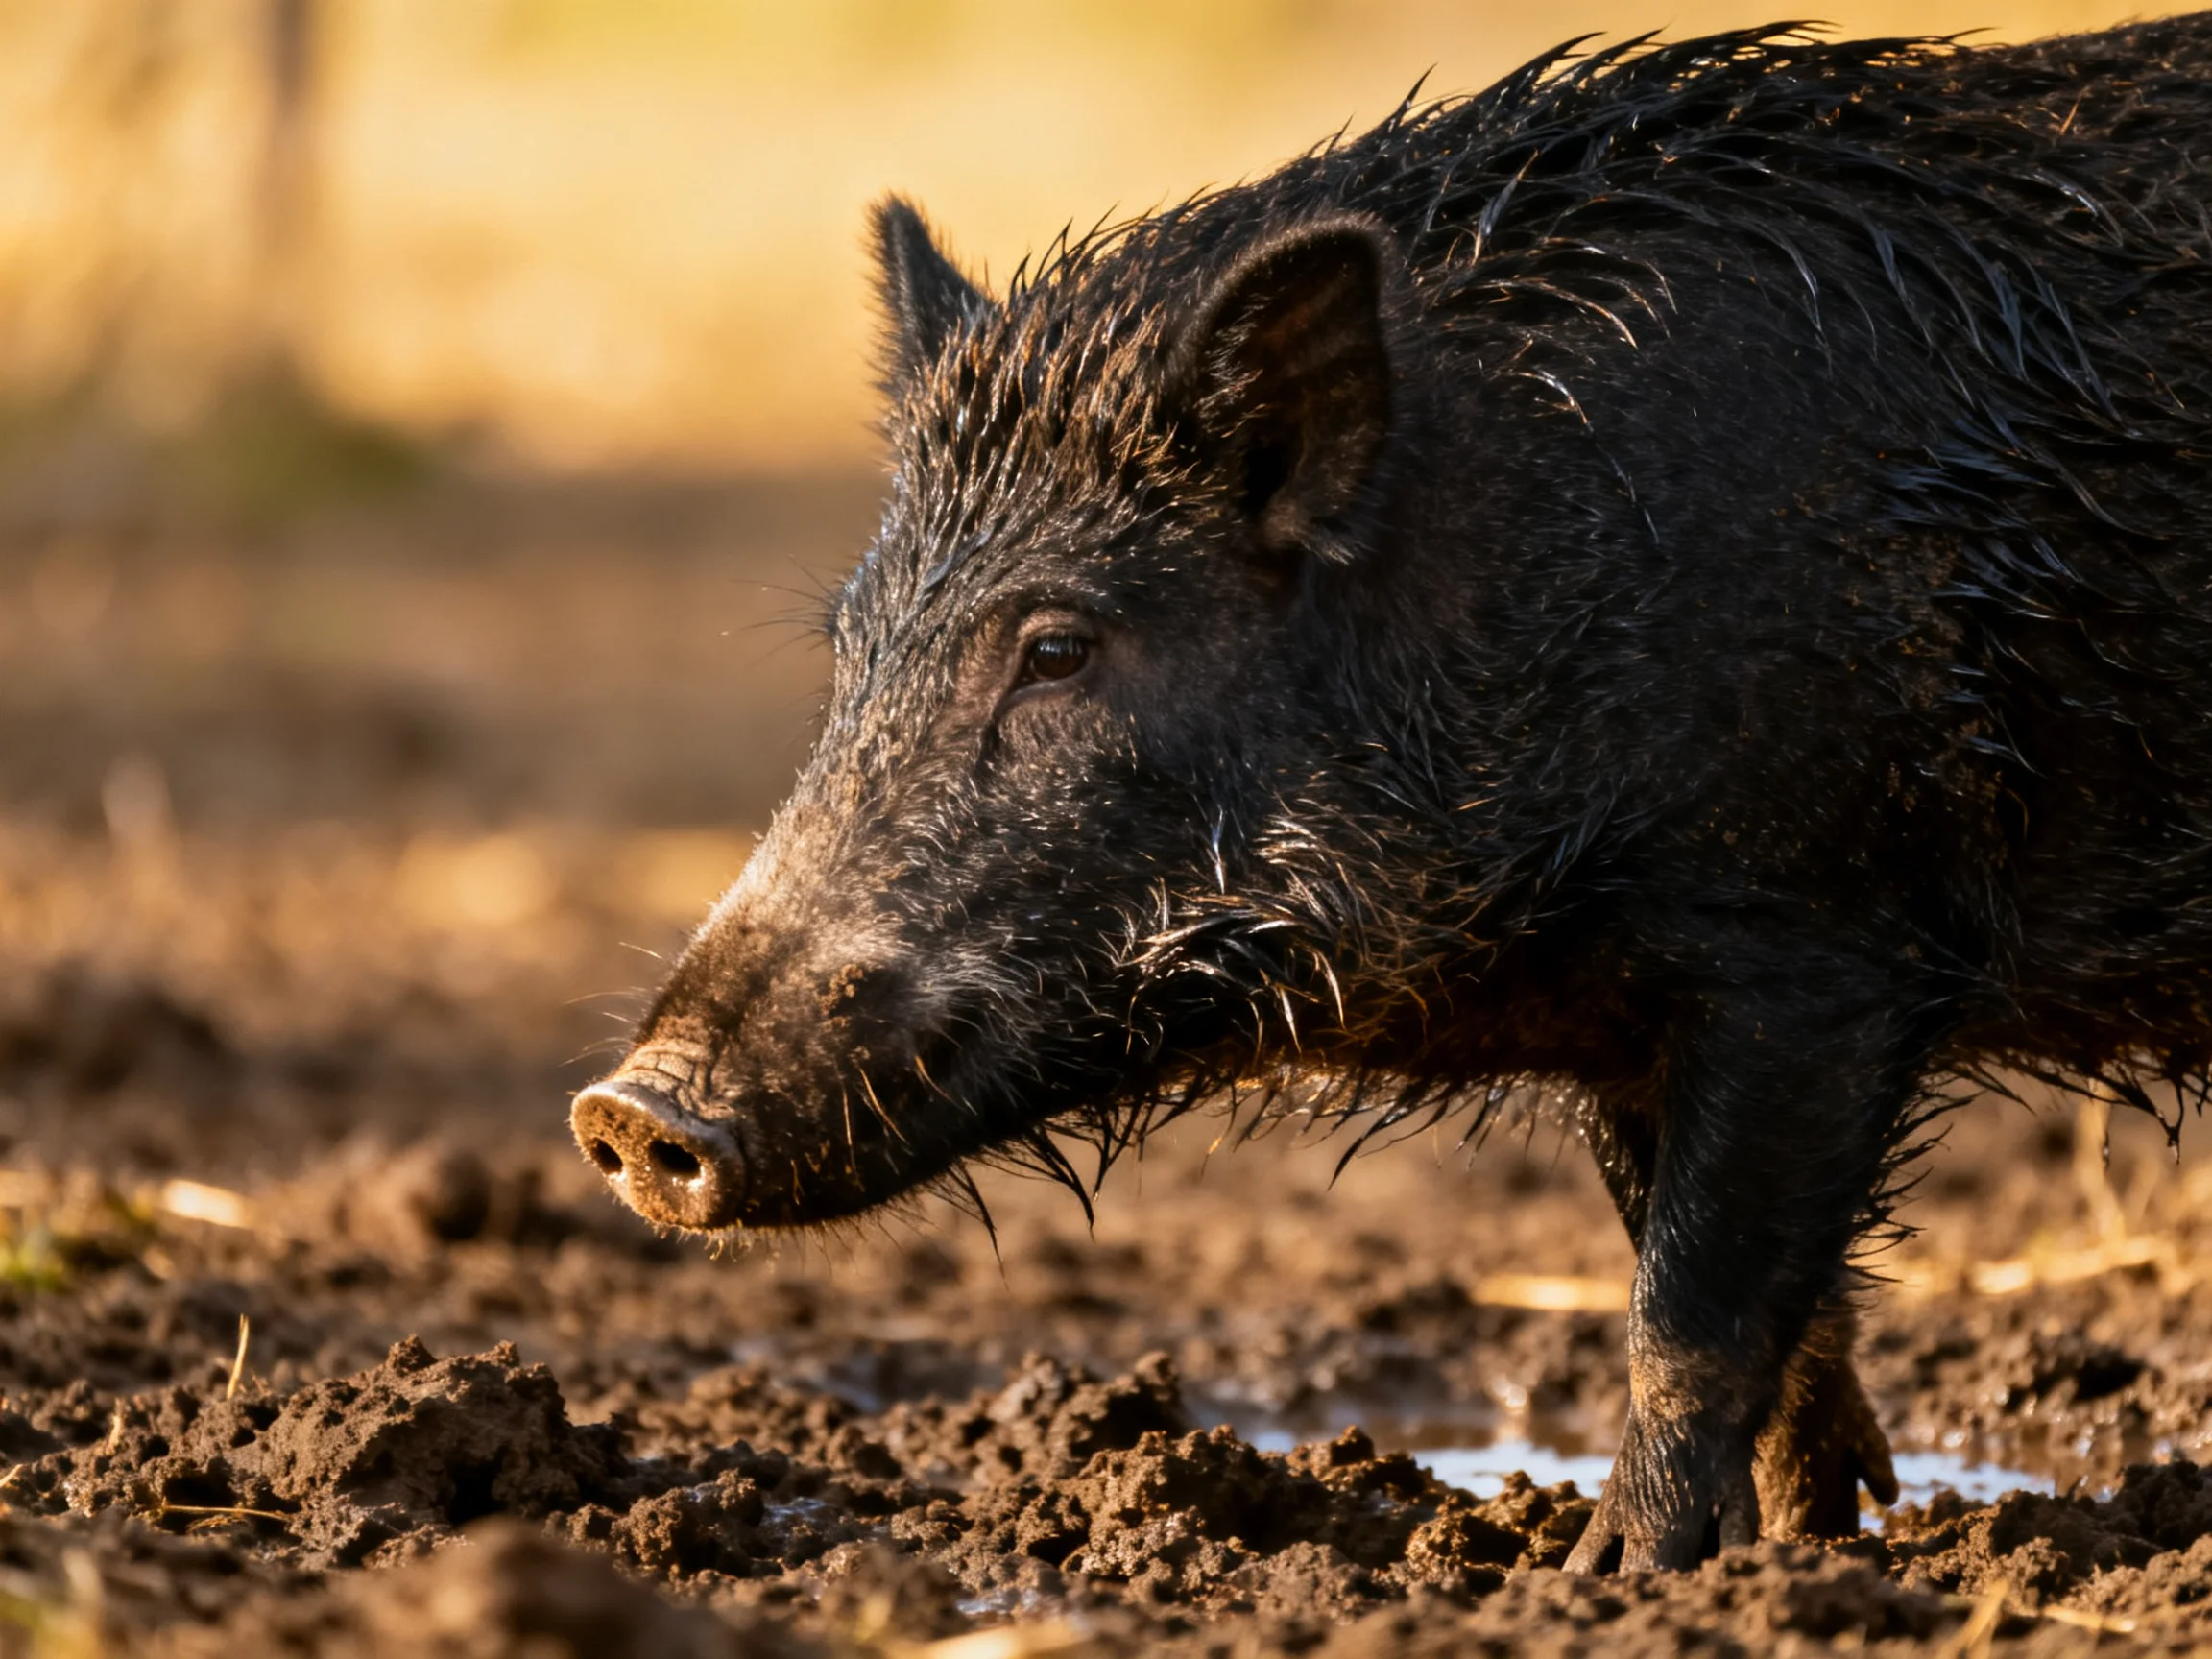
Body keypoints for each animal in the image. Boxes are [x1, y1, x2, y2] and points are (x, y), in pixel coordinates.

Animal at [571, 16, 2212, 1570]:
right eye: (851, 643)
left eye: (1056, 647)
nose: (628, 1113)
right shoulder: (1636, 1023)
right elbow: (1753, 1299)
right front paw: (1811, 1542)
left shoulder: (1818, 939)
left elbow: (1694, 1307)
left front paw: (1618, 1572)